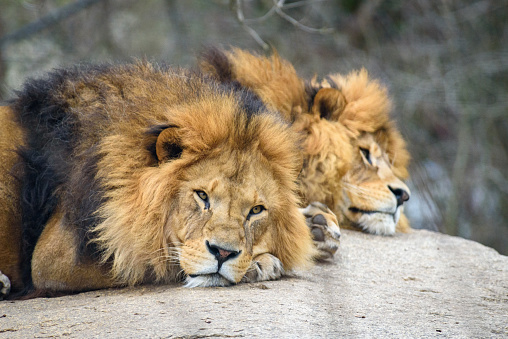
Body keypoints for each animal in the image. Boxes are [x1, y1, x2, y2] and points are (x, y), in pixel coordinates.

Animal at [0, 61, 318, 300]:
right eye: (202, 196)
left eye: (256, 210)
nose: (223, 253)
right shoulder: (54, 260)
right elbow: (154, 259)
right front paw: (263, 263)